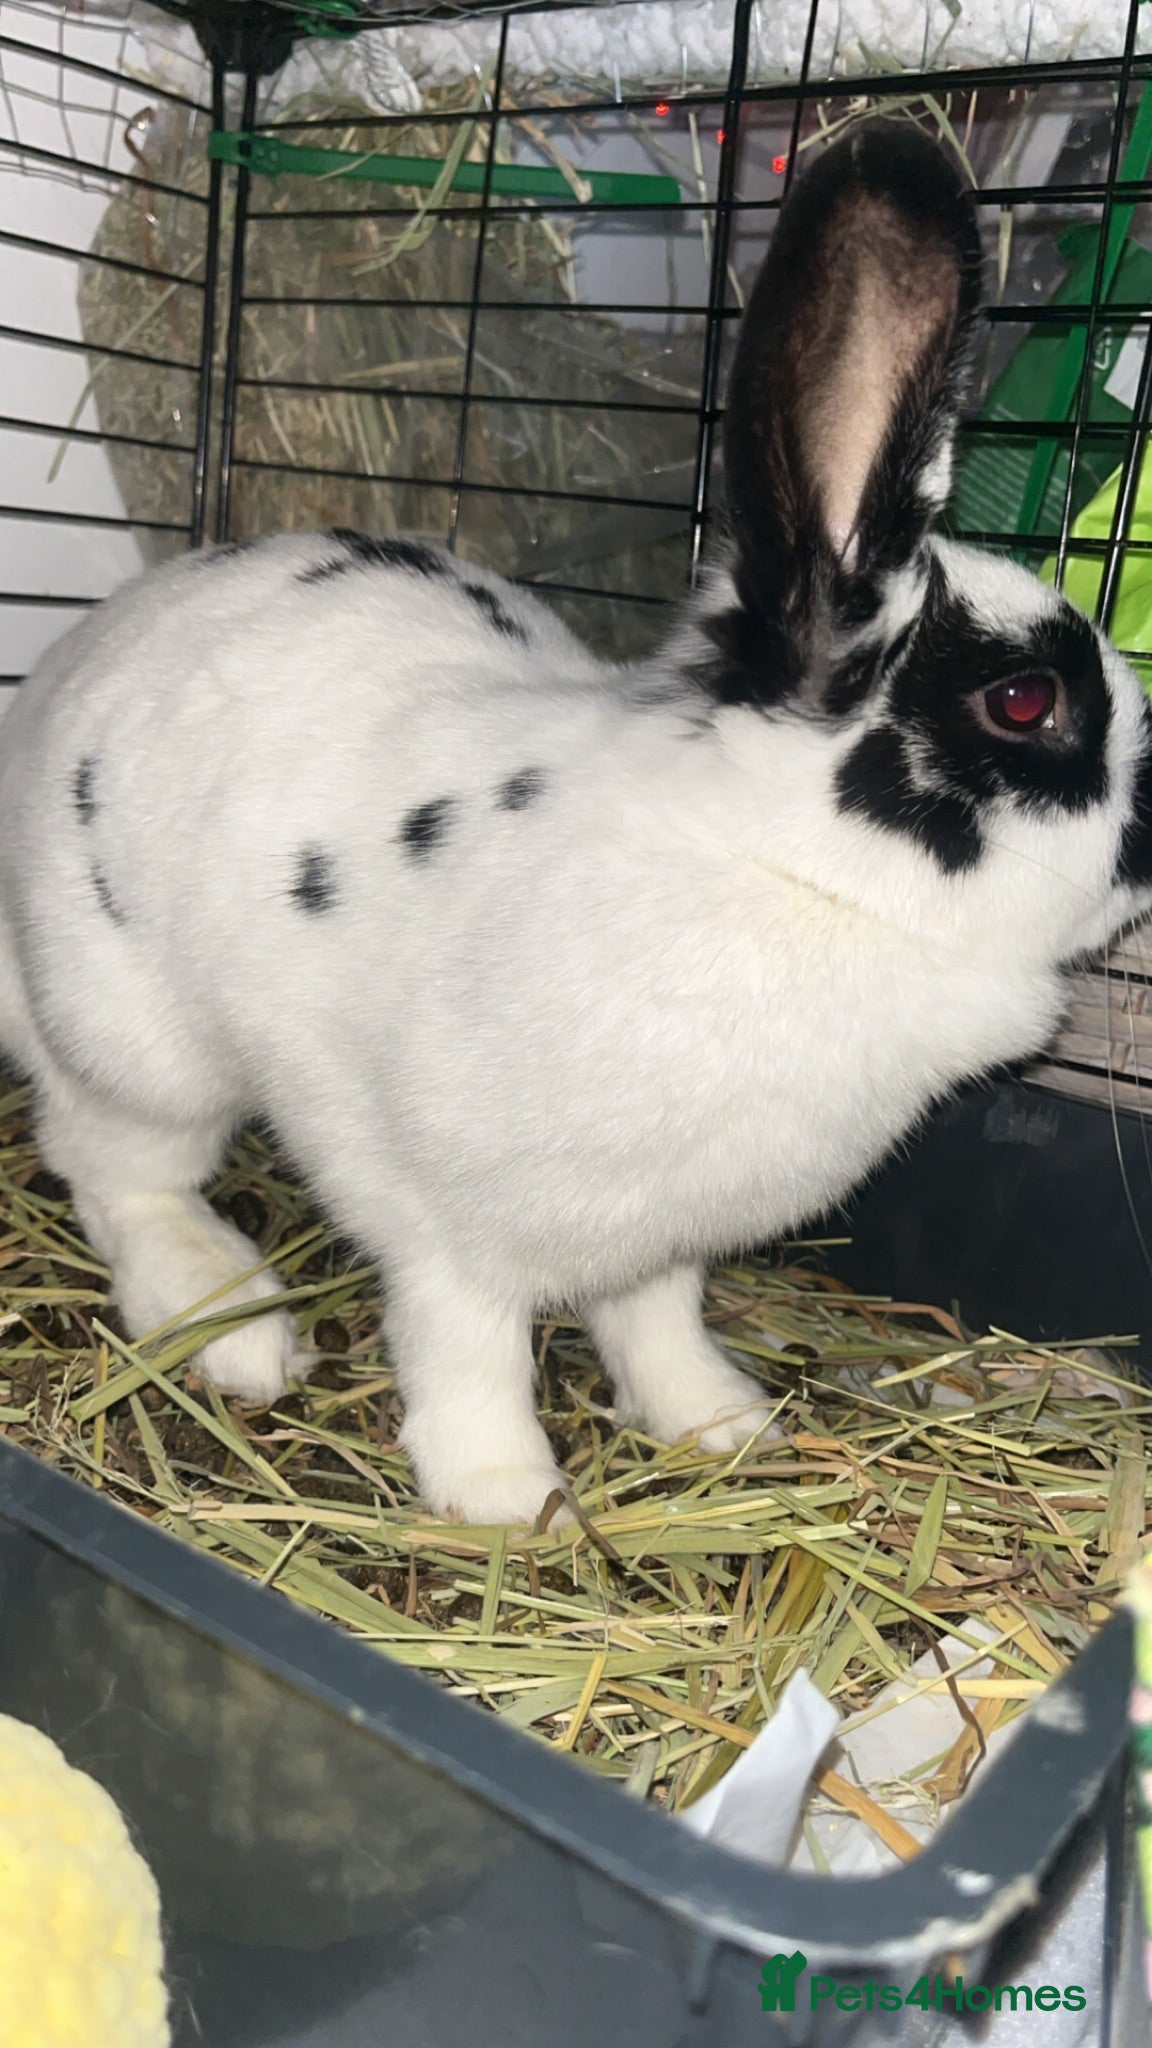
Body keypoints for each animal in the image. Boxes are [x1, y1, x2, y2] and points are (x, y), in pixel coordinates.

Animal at [2, 120, 1152, 1527]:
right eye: (1026, 699)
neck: (794, 876)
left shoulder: (655, 1238)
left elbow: (656, 1320)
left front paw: (723, 1424)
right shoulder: (443, 1220)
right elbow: (465, 1341)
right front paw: (505, 1498)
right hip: (141, 1042)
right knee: (111, 1162)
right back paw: (233, 1322)